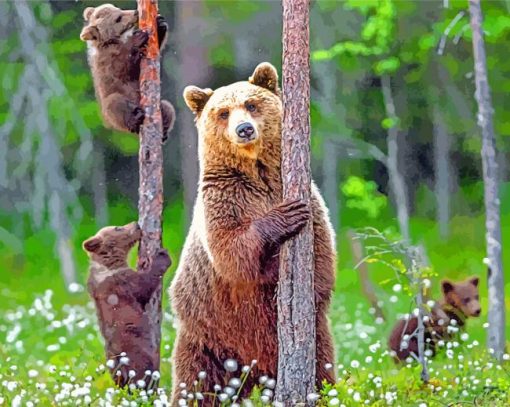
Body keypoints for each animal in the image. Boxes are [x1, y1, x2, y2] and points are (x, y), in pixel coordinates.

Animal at [80, 3, 175, 141]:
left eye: (118, 9)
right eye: (118, 18)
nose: (135, 12)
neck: (114, 41)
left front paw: (160, 24)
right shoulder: (107, 61)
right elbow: (123, 68)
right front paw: (137, 38)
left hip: (159, 106)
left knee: (168, 107)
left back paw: (164, 130)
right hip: (113, 106)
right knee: (115, 104)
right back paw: (134, 119)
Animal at [171, 62, 336, 404]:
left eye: (251, 104)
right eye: (223, 112)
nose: (244, 129)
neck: (256, 172)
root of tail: (253, 370)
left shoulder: (307, 197)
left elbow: (321, 254)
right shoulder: (224, 199)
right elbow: (232, 252)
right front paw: (284, 217)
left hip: (315, 340)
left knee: (322, 369)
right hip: (207, 338)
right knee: (194, 386)